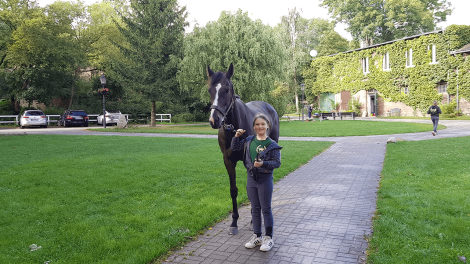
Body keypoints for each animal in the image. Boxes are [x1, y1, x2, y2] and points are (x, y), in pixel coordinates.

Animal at [207, 63, 280, 234]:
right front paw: (234, 222)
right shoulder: (228, 161)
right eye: (209, 90)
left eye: (227, 89)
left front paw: (254, 219)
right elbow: (234, 190)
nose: (214, 120)